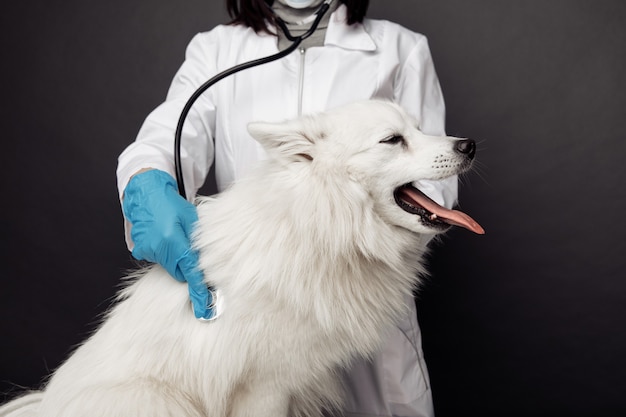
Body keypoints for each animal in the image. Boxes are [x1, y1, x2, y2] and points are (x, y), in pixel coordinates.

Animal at [0, 99, 482, 414]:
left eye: (420, 129)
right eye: (392, 140)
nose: (469, 144)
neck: (317, 222)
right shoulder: (263, 386)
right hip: (157, 403)